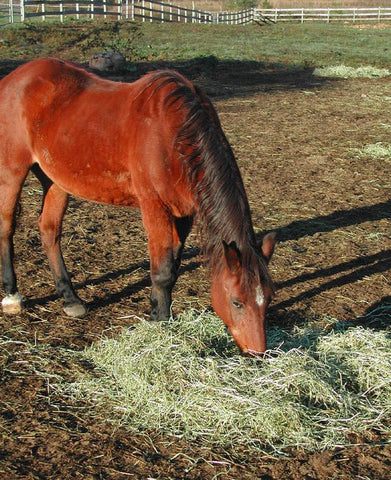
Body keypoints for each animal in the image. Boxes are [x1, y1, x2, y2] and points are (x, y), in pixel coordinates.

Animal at [0, 58, 278, 354]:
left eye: (269, 298)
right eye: (237, 301)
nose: (257, 352)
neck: (174, 135)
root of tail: (14, 79)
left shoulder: (184, 213)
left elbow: (173, 267)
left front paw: (157, 310)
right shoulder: (154, 207)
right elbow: (162, 270)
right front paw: (161, 323)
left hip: (54, 179)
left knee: (49, 231)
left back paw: (69, 298)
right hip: (12, 170)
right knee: (7, 227)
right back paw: (12, 295)